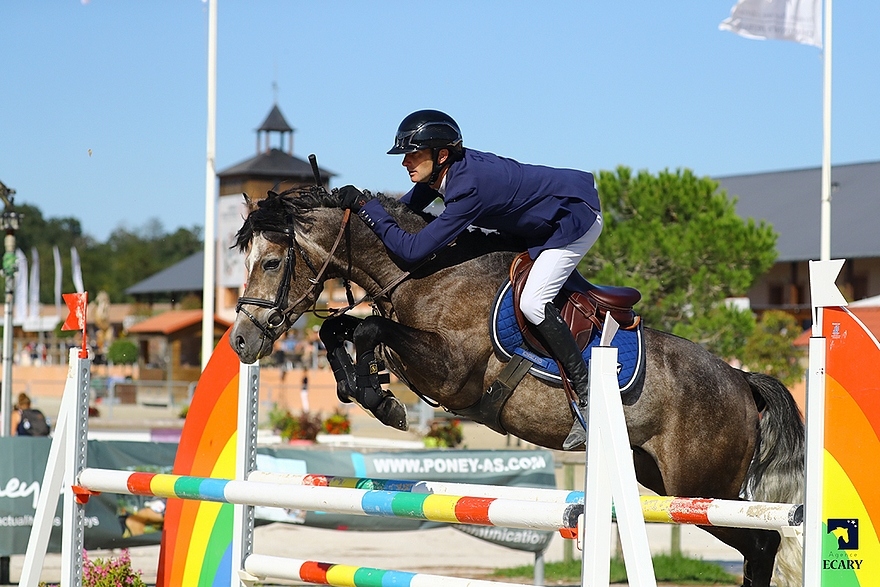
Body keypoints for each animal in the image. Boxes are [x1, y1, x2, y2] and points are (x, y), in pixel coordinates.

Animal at [229, 189, 804, 587]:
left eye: (272, 262)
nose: (240, 341)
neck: (425, 272)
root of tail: (741, 379)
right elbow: (339, 329)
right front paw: (365, 387)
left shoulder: (451, 370)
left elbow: (369, 329)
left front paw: (380, 398)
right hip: (659, 478)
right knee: (756, 546)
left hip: (701, 488)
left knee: (760, 545)